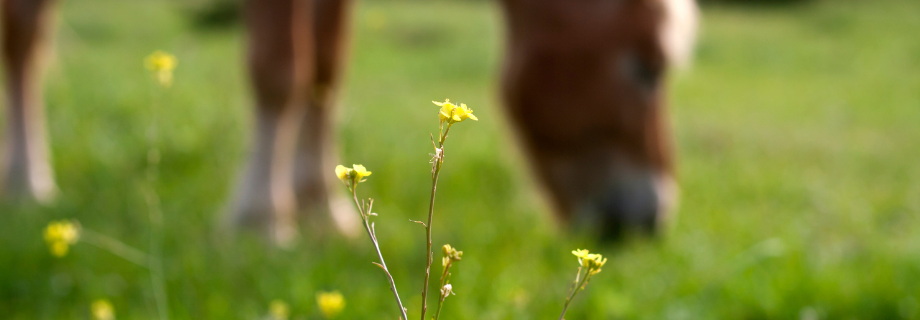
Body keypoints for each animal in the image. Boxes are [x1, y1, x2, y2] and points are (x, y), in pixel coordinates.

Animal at [1, 0, 696, 241]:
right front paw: (261, 218)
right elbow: (282, 65)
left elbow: (325, 63)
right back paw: (26, 182)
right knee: (23, 36)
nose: (654, 219)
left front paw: (320, 207)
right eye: (649, 67)